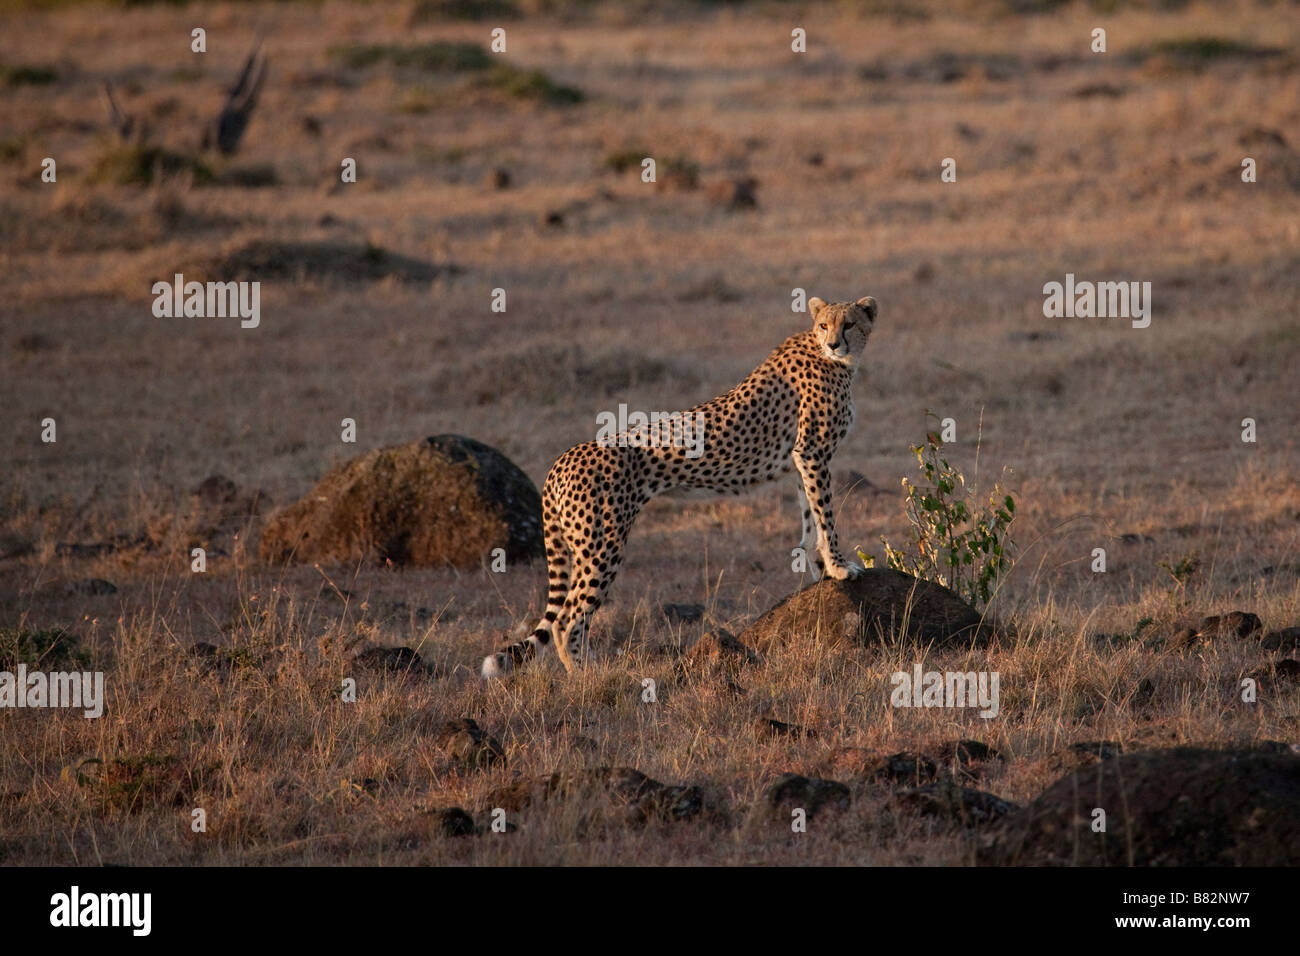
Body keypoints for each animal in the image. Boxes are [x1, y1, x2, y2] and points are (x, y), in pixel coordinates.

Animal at [483, 295, 878, 676]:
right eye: (825, 324)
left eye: (849, 324)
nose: (834, 343)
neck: (833, 358)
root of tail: (563, 458)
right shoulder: (812, 452)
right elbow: (826, 514)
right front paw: (840, 566)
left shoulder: (801, 462)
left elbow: (811, 519)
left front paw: (820, 568)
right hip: (602, 546)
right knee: (566, 619)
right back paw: (586, 676)